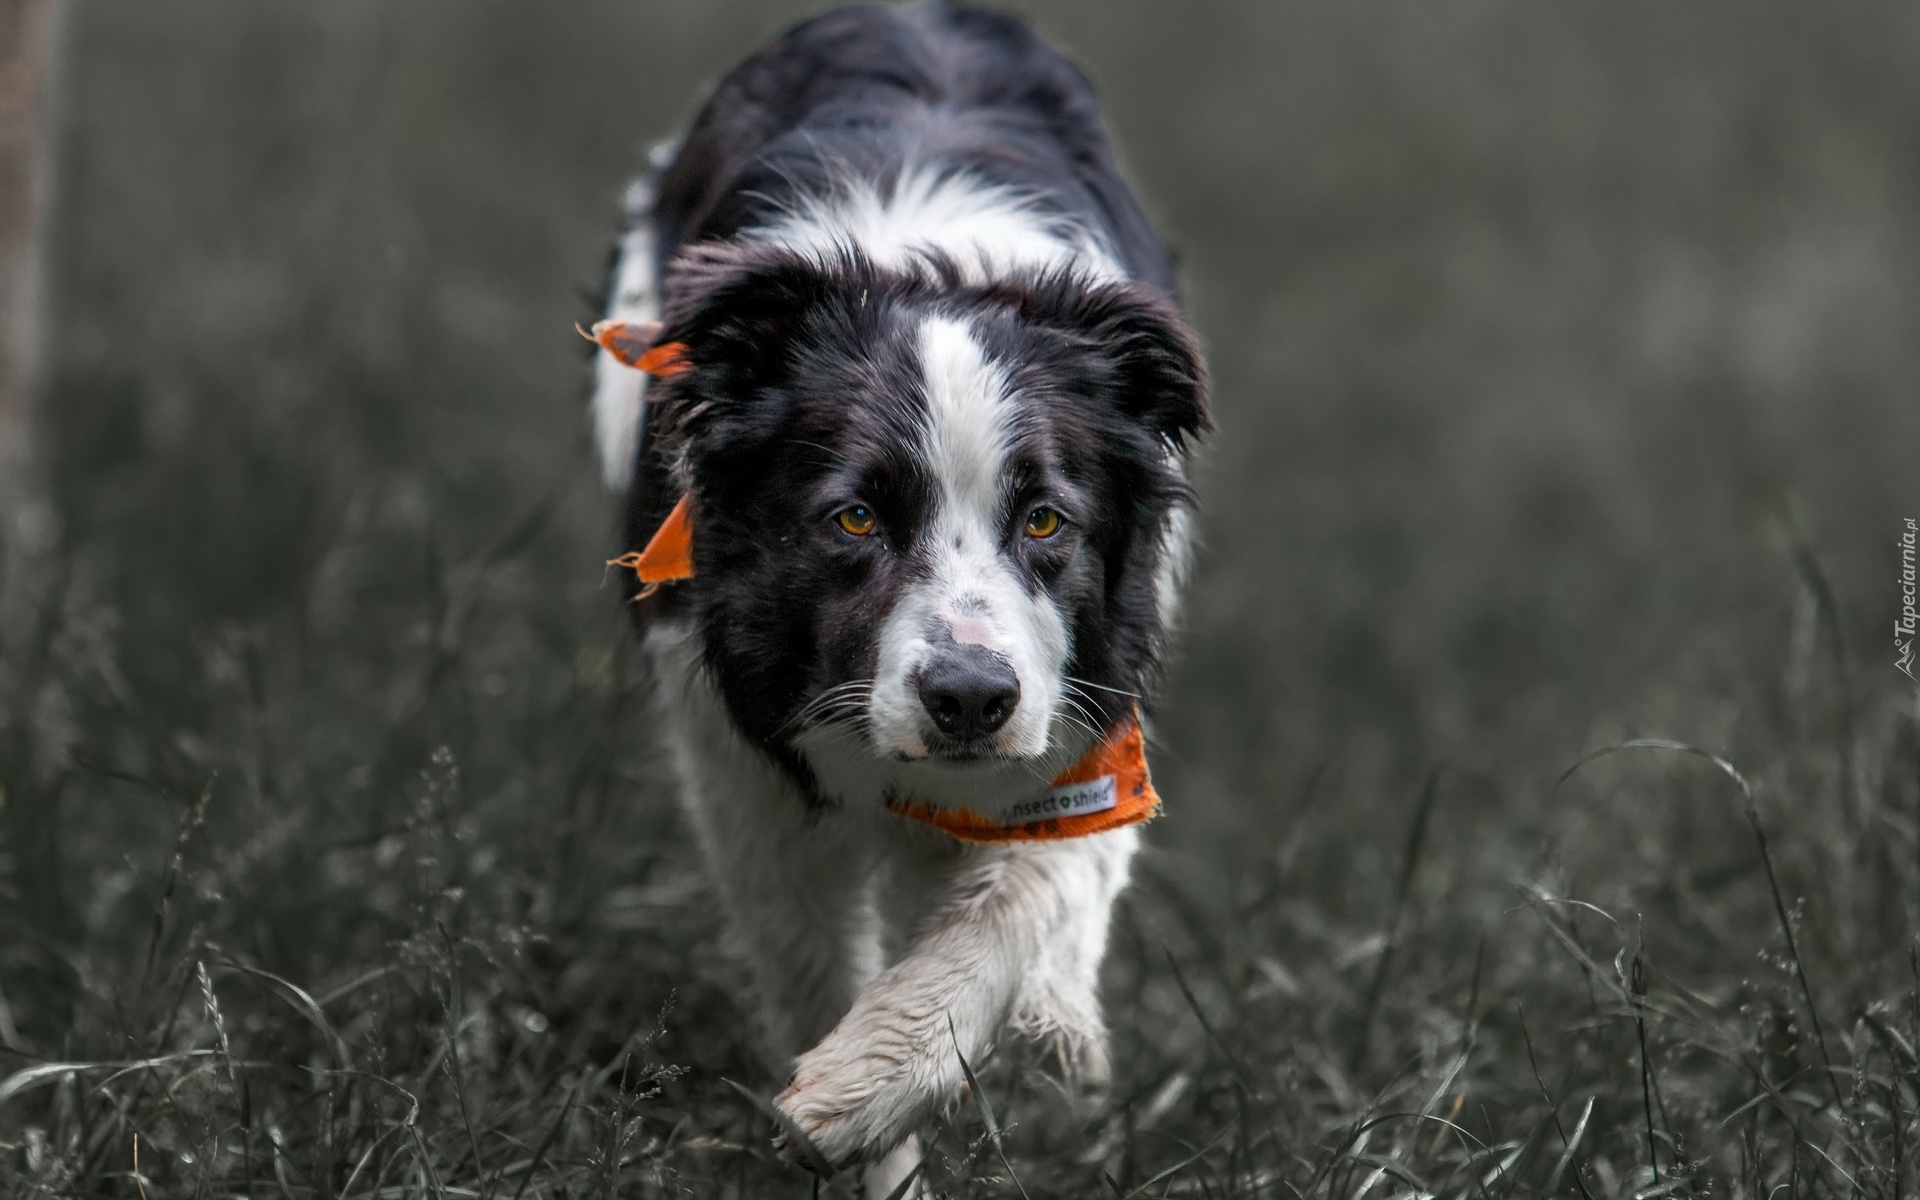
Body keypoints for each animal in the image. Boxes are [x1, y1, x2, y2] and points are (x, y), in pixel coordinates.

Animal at [591, 0, 1205, 1182]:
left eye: (1046, 520)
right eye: (854, 519)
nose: (968, 700)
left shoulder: (1088, 694)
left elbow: (1027, 892)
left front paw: (877, 1081)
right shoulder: (734, 746)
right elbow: (810, 955)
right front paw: (855, 1133)